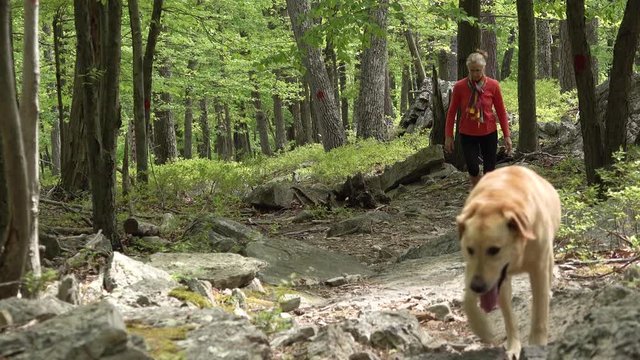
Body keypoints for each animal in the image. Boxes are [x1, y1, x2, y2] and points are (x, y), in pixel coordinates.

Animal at [458, 165, 556, 358]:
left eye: (494, 250)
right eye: (470, 249)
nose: (478, 287)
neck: (496, 201)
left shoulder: (539, 268)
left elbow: (540, 314)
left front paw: (537, 344)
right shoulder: (479, 273)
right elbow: (469, 301)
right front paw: (483, 329)